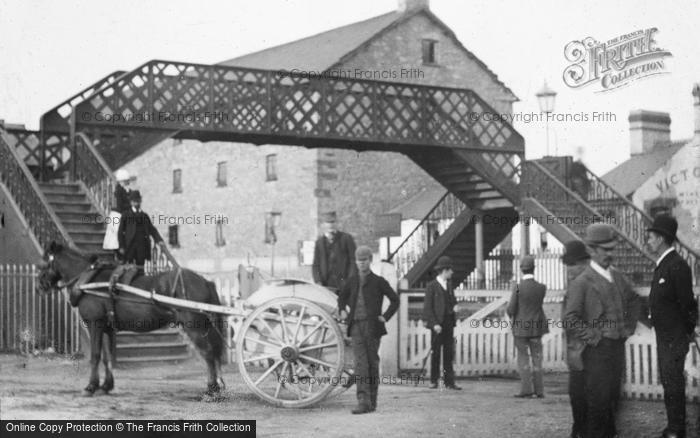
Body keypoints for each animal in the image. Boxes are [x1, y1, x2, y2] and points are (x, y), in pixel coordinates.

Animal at [37, 241, 226, 398]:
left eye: (44, 262)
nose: (40, 286)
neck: (89, 281)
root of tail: (205, 281)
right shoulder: (107, 328)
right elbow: (107, 357)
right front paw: (106, 385)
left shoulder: (94, 324)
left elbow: (95, 355)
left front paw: (91, 386)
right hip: (204, 326)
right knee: (214, 353)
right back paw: (217, 386)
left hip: (194, 327)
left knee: (208, 353)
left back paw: (211, 388)